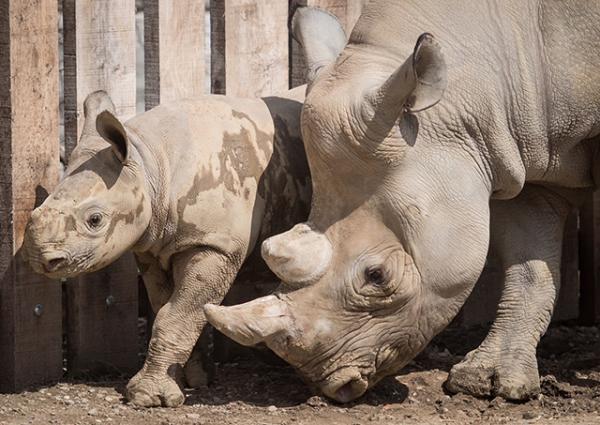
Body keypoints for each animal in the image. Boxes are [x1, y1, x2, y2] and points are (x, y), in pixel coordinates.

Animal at [23, 88, 310, 406]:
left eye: (95, 220)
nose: (41, 259)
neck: (151, 163)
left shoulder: (214, 244)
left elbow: (175, 314)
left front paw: (147, 397)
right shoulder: (153, 245)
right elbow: (170, 306)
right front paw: (193, 380)